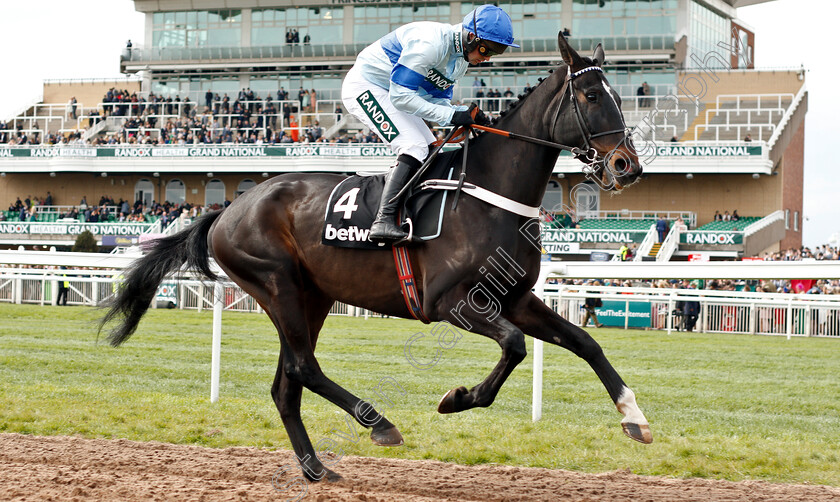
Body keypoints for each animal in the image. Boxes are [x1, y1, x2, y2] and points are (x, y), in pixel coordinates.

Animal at [98, 34, 648, 482]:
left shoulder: (514, 299)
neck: (490, 194)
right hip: (277, 285)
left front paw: (634, 417)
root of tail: (227, 209)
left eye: (621, 97)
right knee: (304, 369)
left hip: (311, 297)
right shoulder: (448, 303)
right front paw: (457, 399)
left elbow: (585, 343)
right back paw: (379, 424)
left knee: (287, 385)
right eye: (592, 96)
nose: (628, 165)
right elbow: (514, 346)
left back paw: (317, 469)